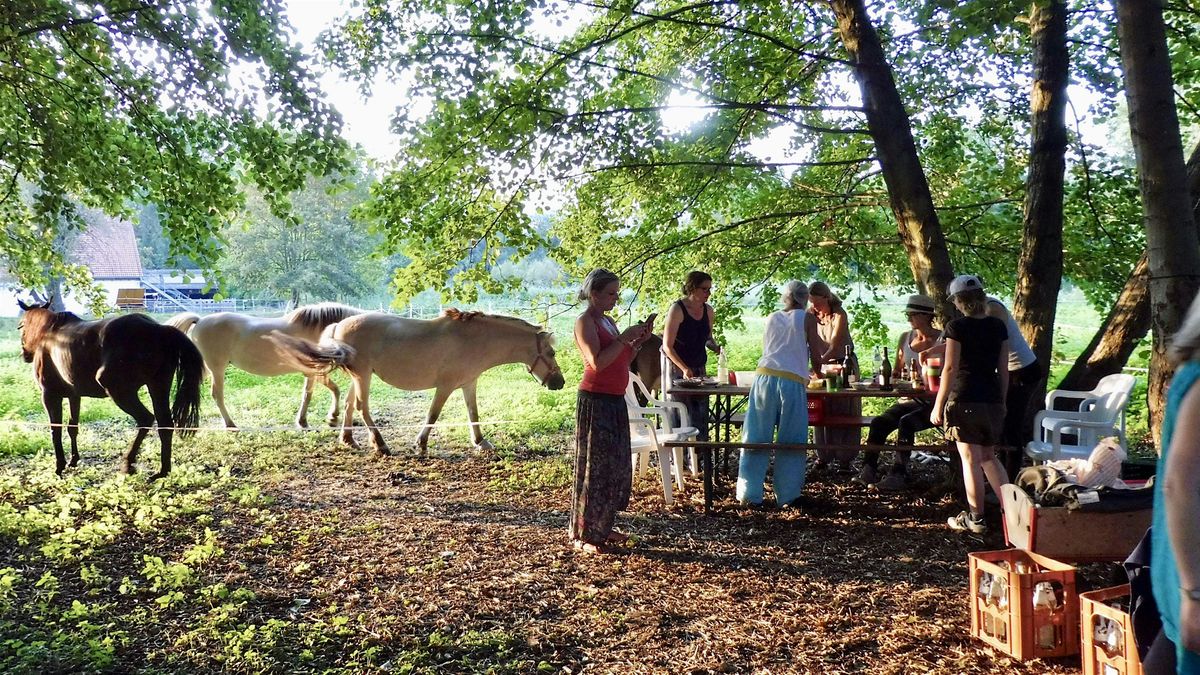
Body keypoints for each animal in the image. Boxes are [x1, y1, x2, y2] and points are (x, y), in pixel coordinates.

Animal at [18, 299, 204, 478]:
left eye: (21, 325)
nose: (25, 354)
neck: (49, 335)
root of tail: (158, 329)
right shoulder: (74, 396)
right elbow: (72, 427)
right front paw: (73, 460)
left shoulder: (49, 395)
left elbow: (55, 429)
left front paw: (59, 466)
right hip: (158, 387)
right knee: (165, 424)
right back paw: (163, 471)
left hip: (121, 392)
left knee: (145, 419)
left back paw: (128, 463)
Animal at [166, 303, 360, 425]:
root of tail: (199, 320)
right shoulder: (313, 371)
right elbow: (327, 391)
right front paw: (331, 417)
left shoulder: (311, 373)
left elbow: (310, 393)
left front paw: (305, 420)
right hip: (217, 369)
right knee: (217, 395)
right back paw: (230, 424)